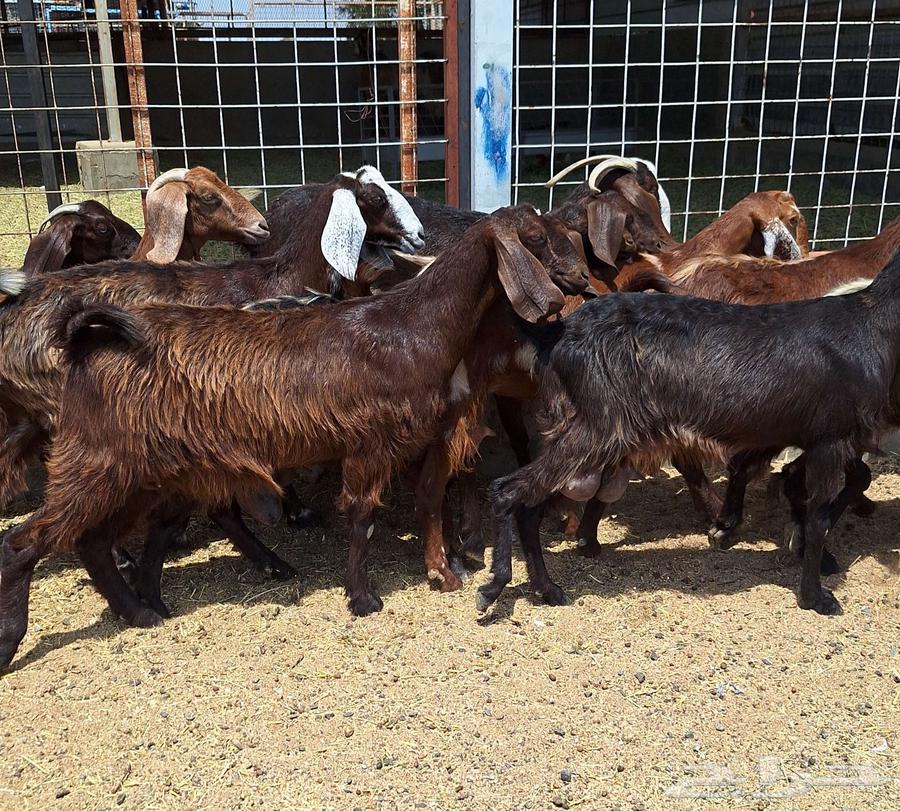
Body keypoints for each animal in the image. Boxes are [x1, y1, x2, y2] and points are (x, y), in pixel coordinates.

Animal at [0, 206, 585, 667]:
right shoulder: (370, 443)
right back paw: (16, 640)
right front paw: (363, 599)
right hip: (98, 463)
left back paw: (143, 611)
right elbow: (362, 516)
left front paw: (444, 571)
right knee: (28, 540)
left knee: (93, 542)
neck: (412, 326)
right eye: (536, 238)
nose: (580, 279)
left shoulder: (418, 440)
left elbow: (428, 501)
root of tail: (87, 343)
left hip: (142, 473)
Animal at [477, 249, 900, 619]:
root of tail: (558, 333)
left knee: (532, 502)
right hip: (598, 428)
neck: (873, 324)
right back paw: (494, 587)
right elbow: (819, 519)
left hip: (583, 430)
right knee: (507, 489)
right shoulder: (831, 438)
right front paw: (816, 596)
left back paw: (546, 589)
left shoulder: (810, 438)